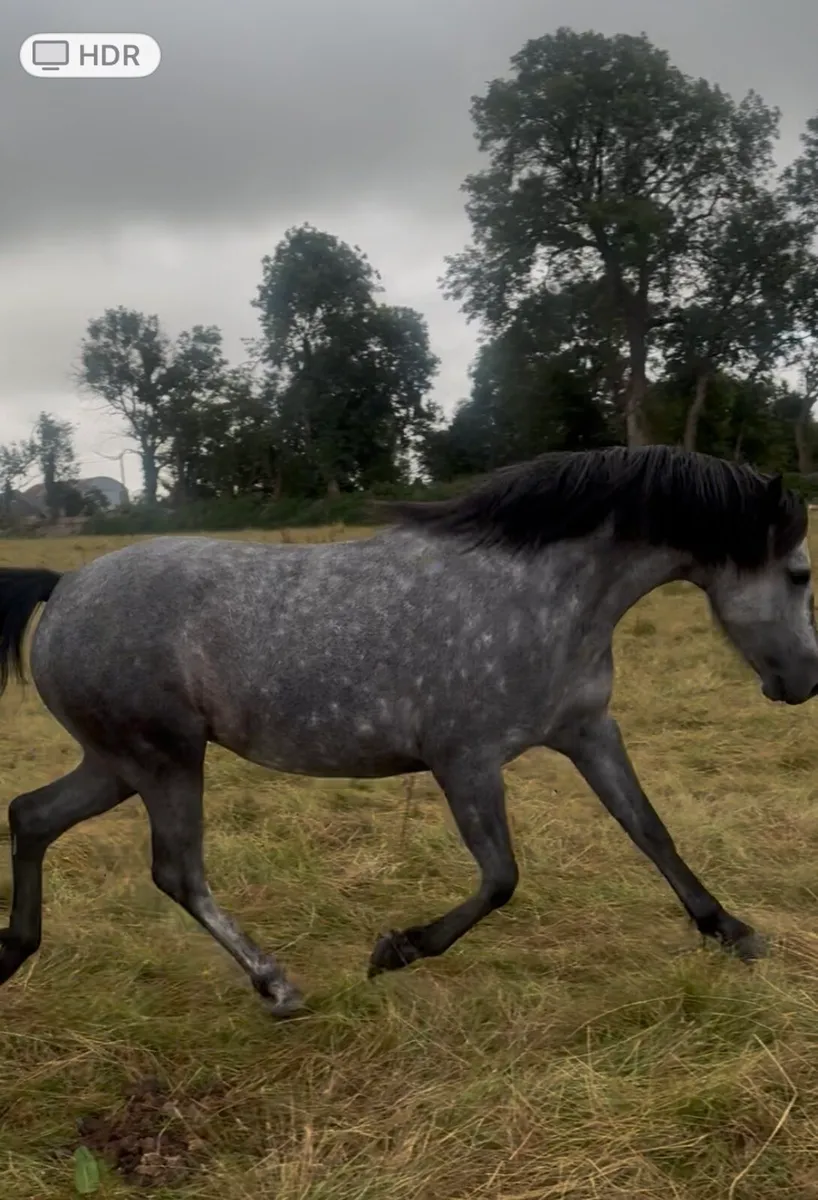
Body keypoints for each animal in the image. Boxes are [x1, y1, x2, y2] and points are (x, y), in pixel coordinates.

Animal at [1, 445, 817, 1017]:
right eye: (802, 573)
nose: (805, 682)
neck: (542, 595)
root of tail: (64, 588)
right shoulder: (466, 761)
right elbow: (501, 877)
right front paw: (395, 950)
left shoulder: (588, 730)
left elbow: (650, 831)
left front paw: (733, 931)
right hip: (164, 759)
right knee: (177, 872)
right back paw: (278, 987)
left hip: (118, 763)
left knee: (32, 816)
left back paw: (15, 950)